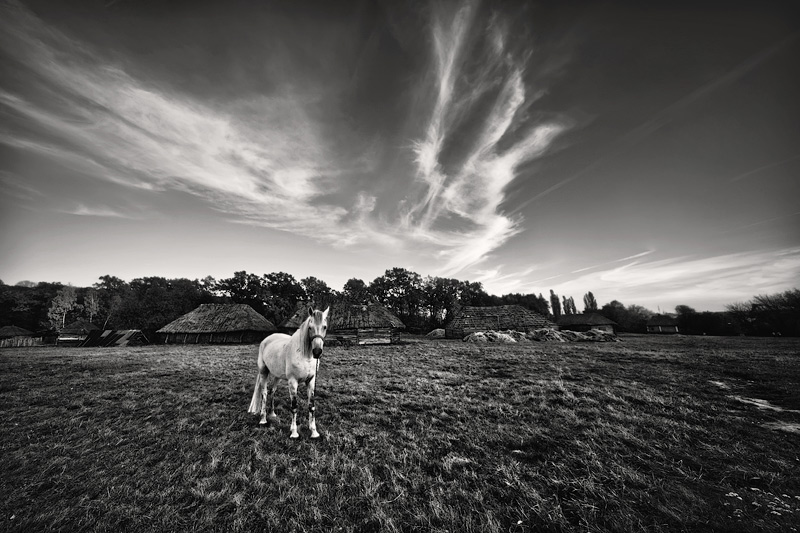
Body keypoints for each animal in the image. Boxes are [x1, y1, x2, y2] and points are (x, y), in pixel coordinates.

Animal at [247, 306, 328, 438]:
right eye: (310, 327)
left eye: (324, 327)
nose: (317, 352)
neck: (304, 356)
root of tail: (266, 340)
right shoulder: (293, 382)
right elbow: (294, 407)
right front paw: (294, 432)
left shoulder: (311, 381)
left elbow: (311, 406)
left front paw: (314, 432)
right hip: (264, 372)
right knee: (264, 393)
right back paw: (263, 419)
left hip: (277, 376)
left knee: (272, 391)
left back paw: (272, 414)